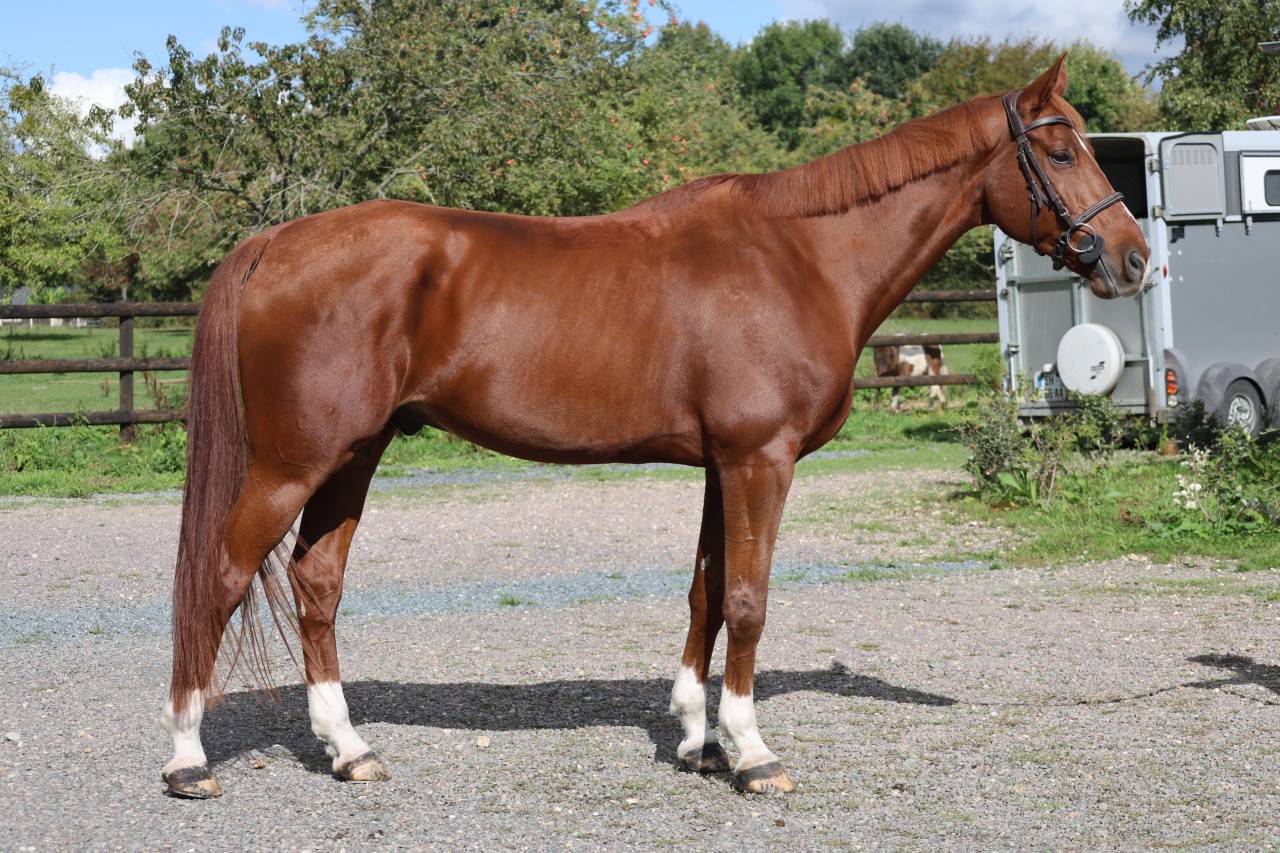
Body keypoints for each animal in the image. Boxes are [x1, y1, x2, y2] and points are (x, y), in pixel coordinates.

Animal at [161, 55, 1149, 798]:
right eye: (1059, 149)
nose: (1134, 258)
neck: (801, 258)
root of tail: (277, 243)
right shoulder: (760, 460)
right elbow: (747, 600)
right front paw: (752, 752)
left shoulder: (722, 464)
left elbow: (707, 593)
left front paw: (697, 740)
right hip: (293, 460)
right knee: (219, 576)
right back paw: (187, 758)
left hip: (353, 455)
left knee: (315, 582)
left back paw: (349, 748)